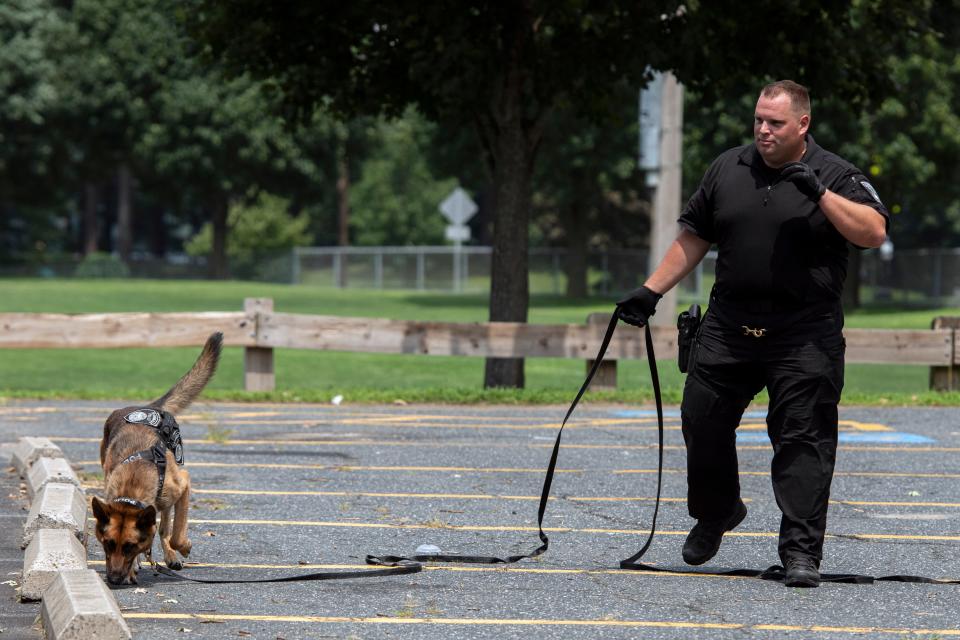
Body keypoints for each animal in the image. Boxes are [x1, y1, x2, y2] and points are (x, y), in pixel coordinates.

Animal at [92, 332, 223, 588]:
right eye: (107, 544)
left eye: (130, 546)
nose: (113, 579)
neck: (132, 484)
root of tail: (145, 407)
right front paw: (134, 568)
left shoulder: (183, 484)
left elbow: (175, 533)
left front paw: (183, 546)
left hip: (168, 497)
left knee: (164, 528)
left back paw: (171, 555)